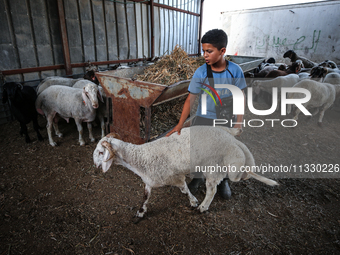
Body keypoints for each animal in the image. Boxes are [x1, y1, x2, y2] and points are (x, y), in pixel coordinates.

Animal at [91, 126, 278, 222]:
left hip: (214, 168)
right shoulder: (149, 181)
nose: (95, 166)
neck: (141, 158)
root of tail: (233, 140)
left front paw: (194, 202)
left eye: (101, 152)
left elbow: (184, 189)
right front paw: (140, 213)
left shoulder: (175, 177)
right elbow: (145, 197)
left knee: (212, 190)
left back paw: (203, 207)